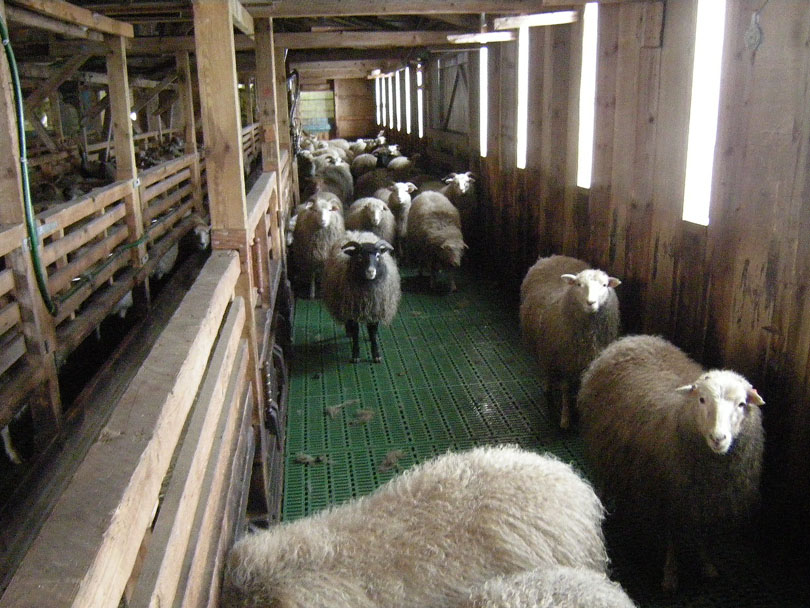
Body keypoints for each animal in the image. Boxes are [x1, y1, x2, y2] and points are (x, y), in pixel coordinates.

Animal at [320, 230, 400, 364]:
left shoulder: (375, 309)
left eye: (378, 256)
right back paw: (349, 332)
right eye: (359, 257)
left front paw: (376, 354)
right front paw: (355, 354)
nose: (371, 271)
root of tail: (357, 232)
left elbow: (373, 332)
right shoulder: (352, 310)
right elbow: (356, 332)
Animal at [516, 254, 620, 430]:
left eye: (604, 285)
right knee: (546, 369)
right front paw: (565, 419)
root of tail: (551, 257)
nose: (590, 303)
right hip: (544, 348)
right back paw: (547, 386)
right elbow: (565, 390)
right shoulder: (564, 362)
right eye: (579, 285)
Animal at [576, 334, 764, 592]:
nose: (718, 438)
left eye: (741, 404)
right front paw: (670, 575)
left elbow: (703, 536)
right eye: (702, 399)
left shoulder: (703, 503)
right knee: (604, 478)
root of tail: (632, 338)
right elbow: (672, 539)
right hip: (602, 445)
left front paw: (707, 565)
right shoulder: (669, 497)